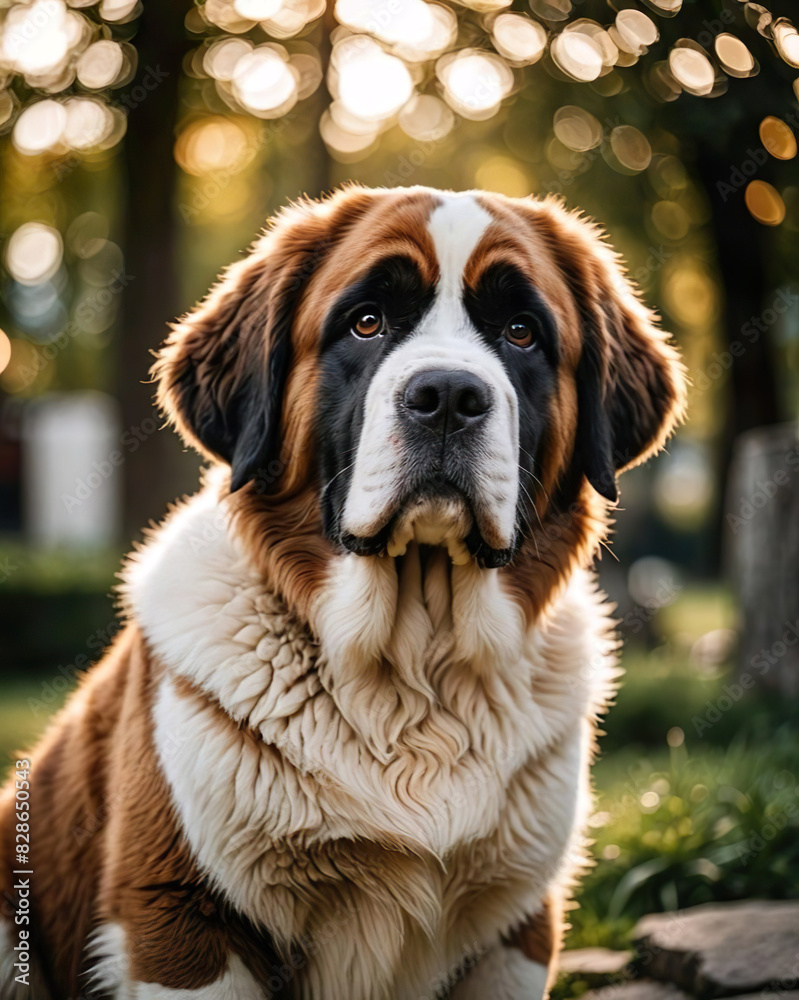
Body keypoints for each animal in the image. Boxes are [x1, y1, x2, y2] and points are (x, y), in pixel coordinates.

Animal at [1, 188, 688, 1000]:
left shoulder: (514, 932)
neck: (414, 676)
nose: (447, 395)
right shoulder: (180, 926)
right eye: (366, 322)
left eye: (522, 333)